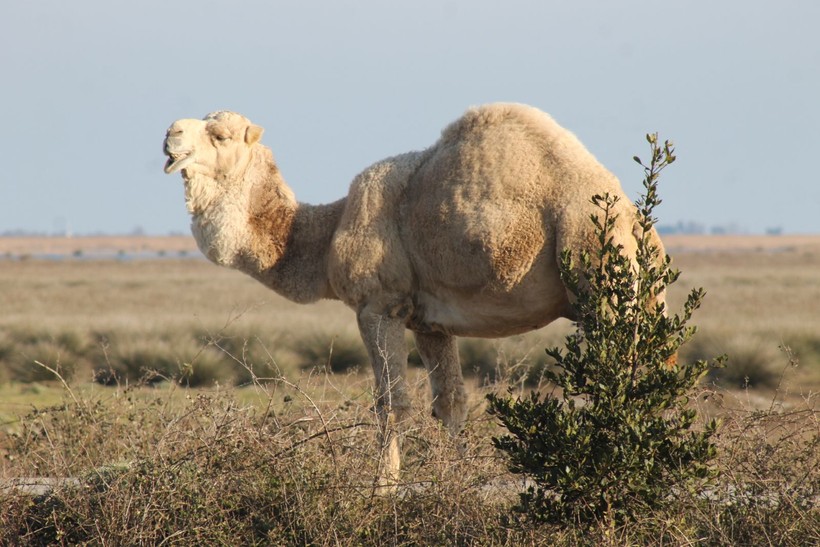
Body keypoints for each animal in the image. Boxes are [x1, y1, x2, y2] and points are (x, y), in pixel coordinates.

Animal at [160, 104, 668, 488]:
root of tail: (630, 215)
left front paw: (381, 490)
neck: (328, 233)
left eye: (220, 135)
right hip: (643, 291)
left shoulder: (379, 305)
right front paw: (459, 479)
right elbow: (452, 402)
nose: (170, 132)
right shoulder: (430, 321)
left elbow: (392, 404)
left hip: (595, 269)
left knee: (617, 377)